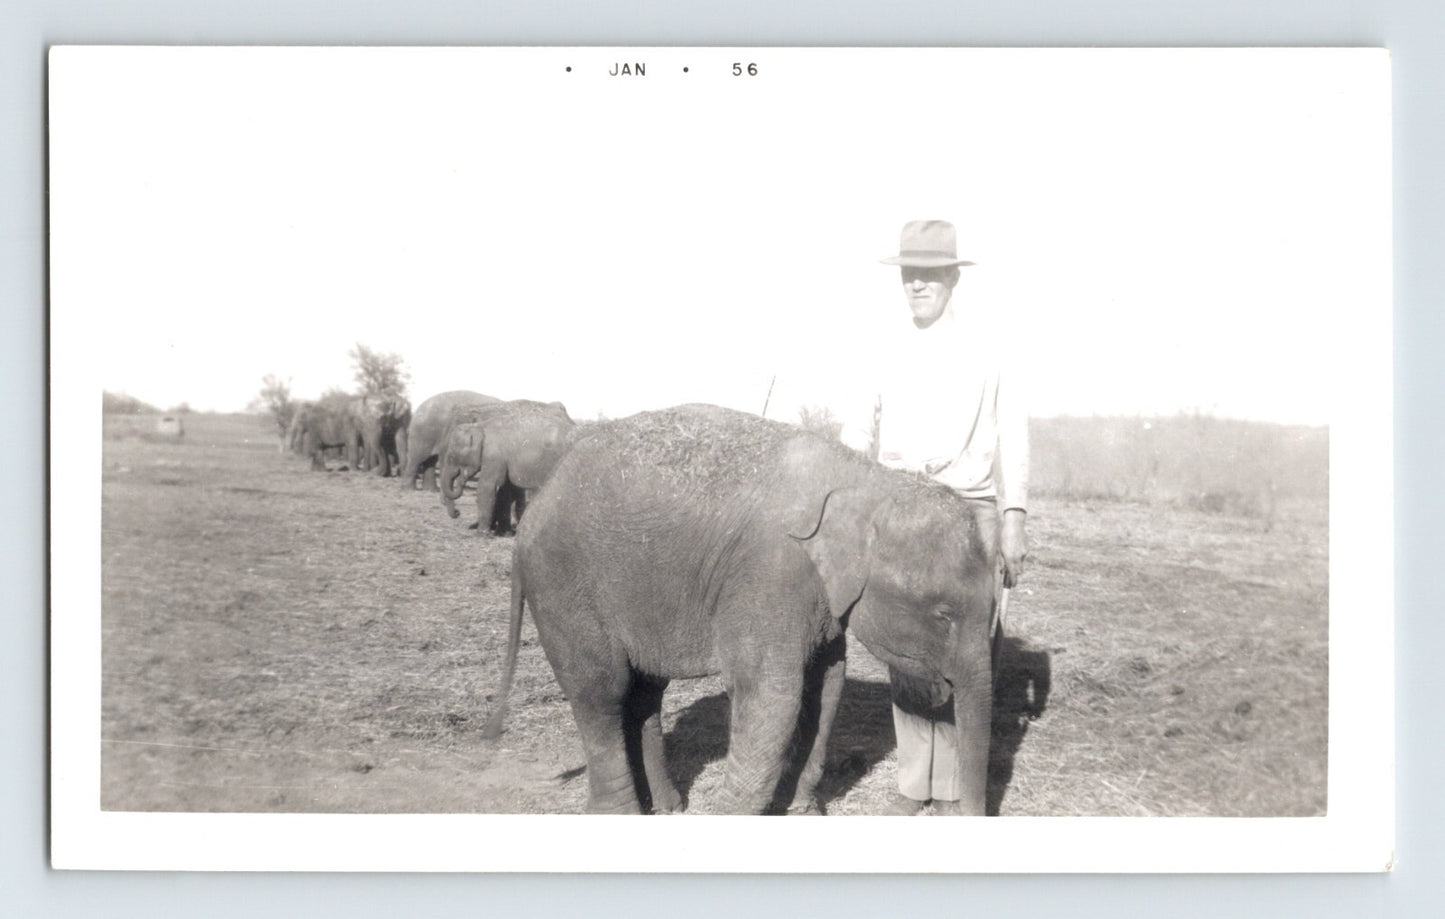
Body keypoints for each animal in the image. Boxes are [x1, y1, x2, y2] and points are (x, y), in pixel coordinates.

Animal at [438, 400, 575, 534]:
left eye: (451, 457)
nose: (457, 513)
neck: (480, 426)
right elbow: (504, 488)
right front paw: (503, 531)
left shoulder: (493, 455)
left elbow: (487, 486)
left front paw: (482, 533)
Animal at [484, 404, 996, 816]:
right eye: (943, 614)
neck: (866, 480)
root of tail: (537, 507)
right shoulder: (768, 574)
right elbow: (772, 692)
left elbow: (825, 686)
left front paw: (801, 812)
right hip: (565, 585)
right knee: (602, 691)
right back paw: (620, 814)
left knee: (644, 691)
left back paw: (666, 806)